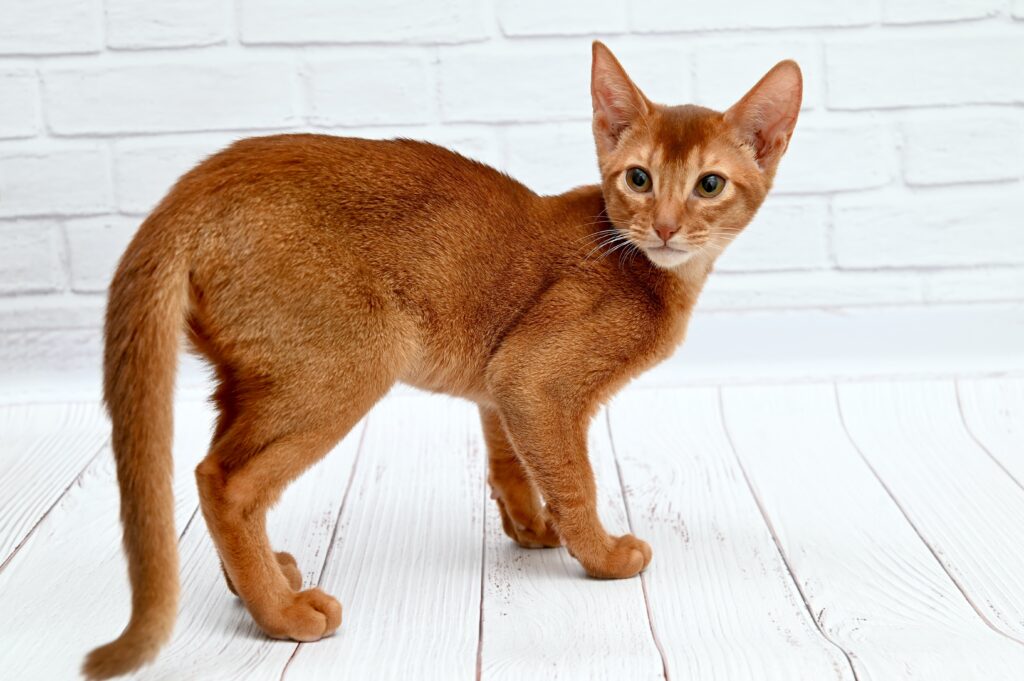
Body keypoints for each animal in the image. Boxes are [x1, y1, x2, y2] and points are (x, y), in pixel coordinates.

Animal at [83, 41, 802, 675]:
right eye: (639, 178)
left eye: (710, 184)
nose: (666, 226)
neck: (647, 266)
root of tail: (193, 188)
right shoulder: (536, 377)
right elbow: (576, 479)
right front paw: (600, 553)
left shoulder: (501, 384)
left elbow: (512, 463)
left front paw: (532, 528)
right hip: (348, 364)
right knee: (224, 481)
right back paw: (283, 614)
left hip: (249, 379)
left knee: (219, 463)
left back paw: (259, 581)